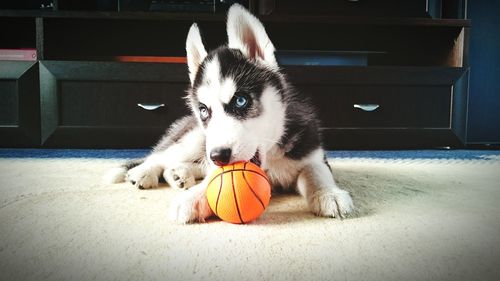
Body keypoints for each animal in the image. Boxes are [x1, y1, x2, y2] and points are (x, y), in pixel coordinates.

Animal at [107, 4, 354, 222]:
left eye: (241, 100)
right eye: (204, 111)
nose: (219, 155)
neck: (271, 154)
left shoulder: (312, 153)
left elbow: (316, 172)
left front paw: (328, 194)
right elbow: (211, 179)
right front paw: (193, 197)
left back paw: (179, 174)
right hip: (196, 139)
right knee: (161, 156)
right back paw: (144, 172)